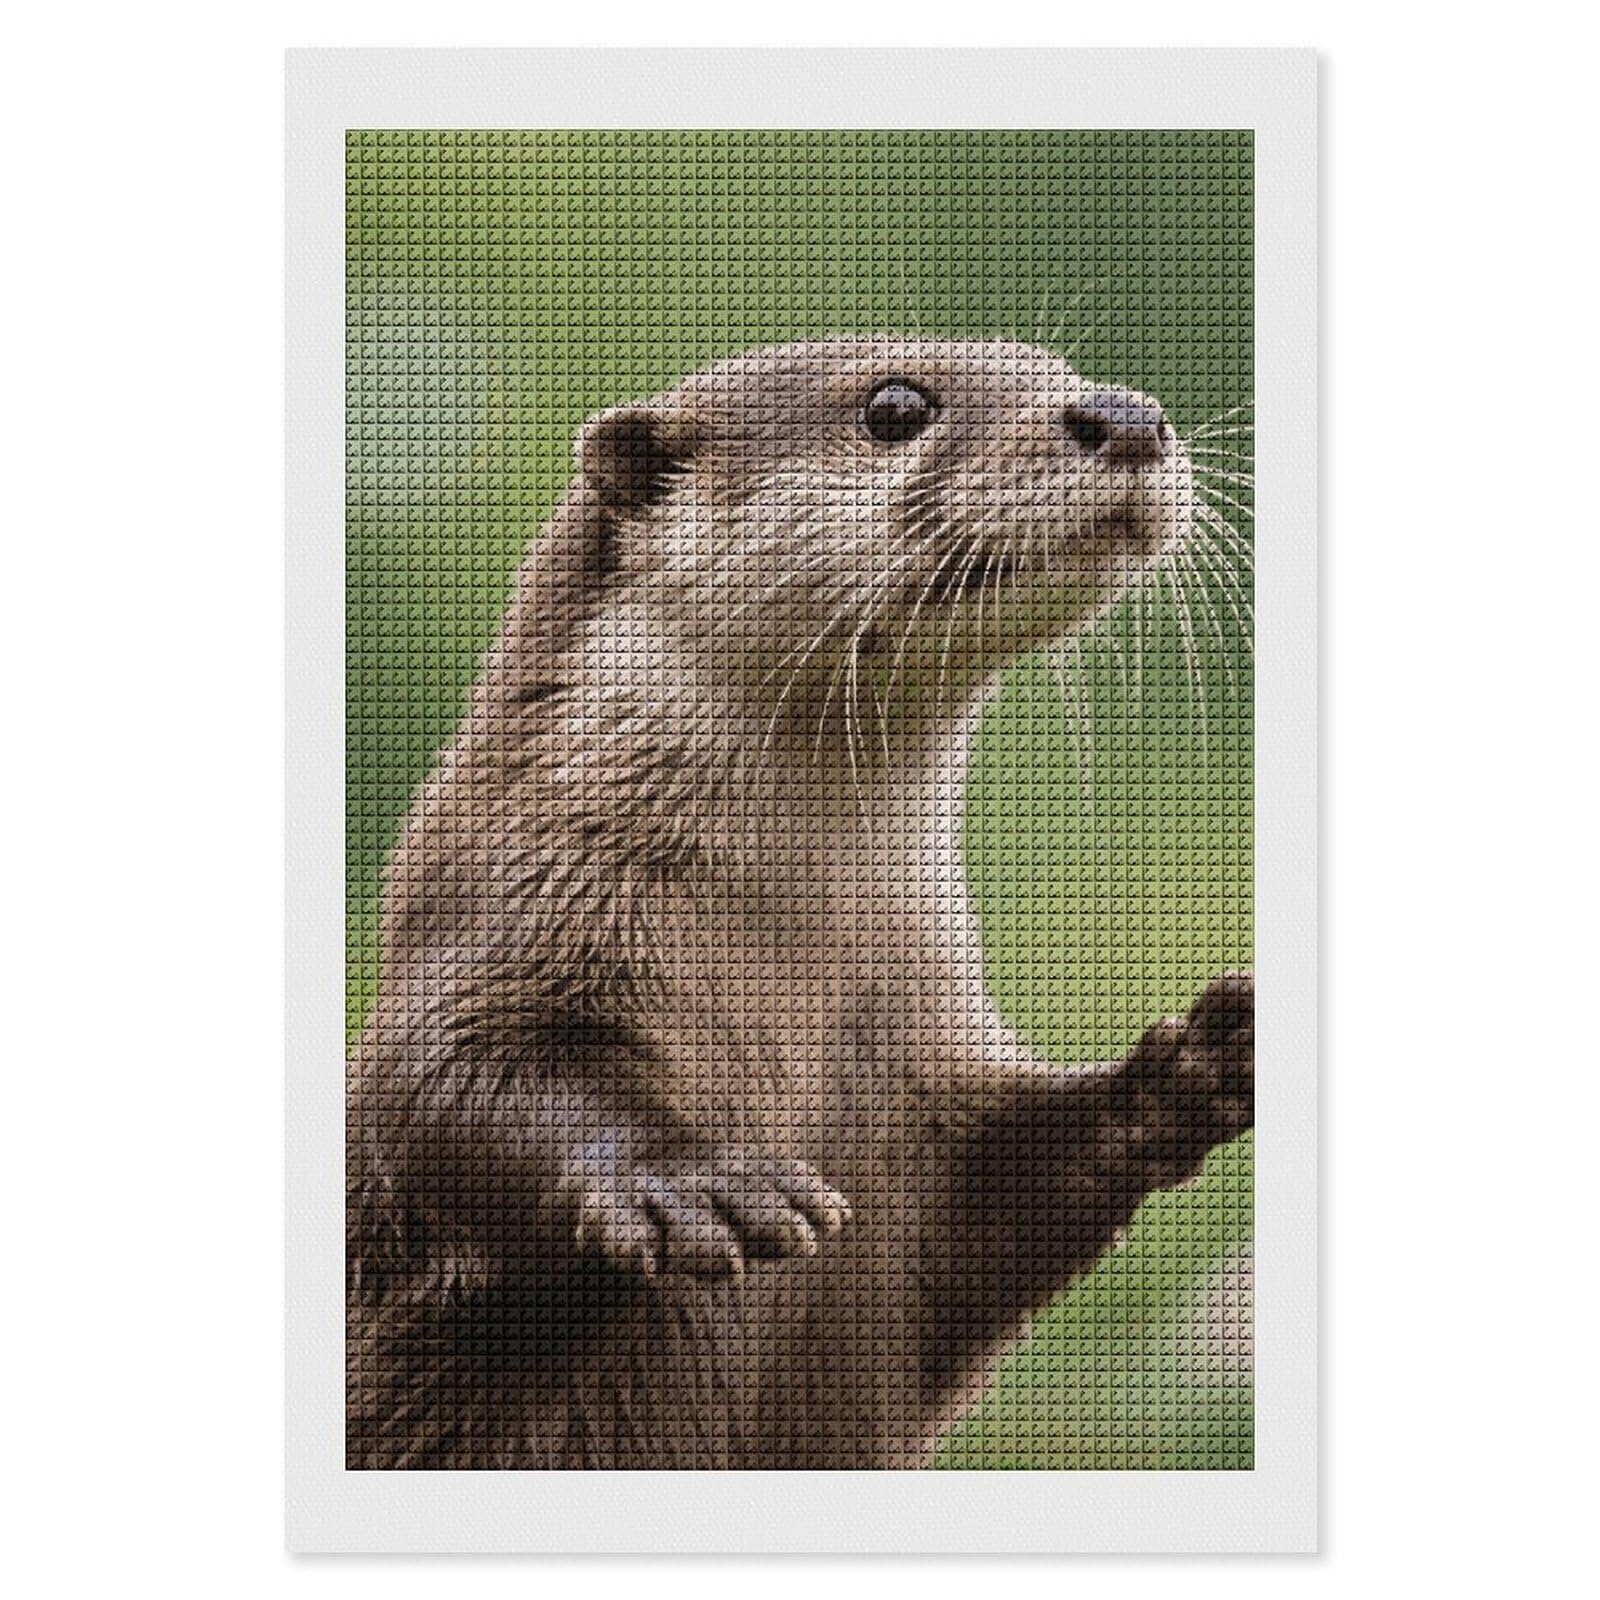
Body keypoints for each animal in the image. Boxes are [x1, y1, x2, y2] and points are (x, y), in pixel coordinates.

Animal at [347, 338, 1254, 1469]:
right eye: (895, 405)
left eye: (1061, 368)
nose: (1126, 415)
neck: (791, 965)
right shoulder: (502, 920)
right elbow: (440, 1085)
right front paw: (690, 1180)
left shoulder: (927, 1068)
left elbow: (1002, 1202)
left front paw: (1186, 1070)